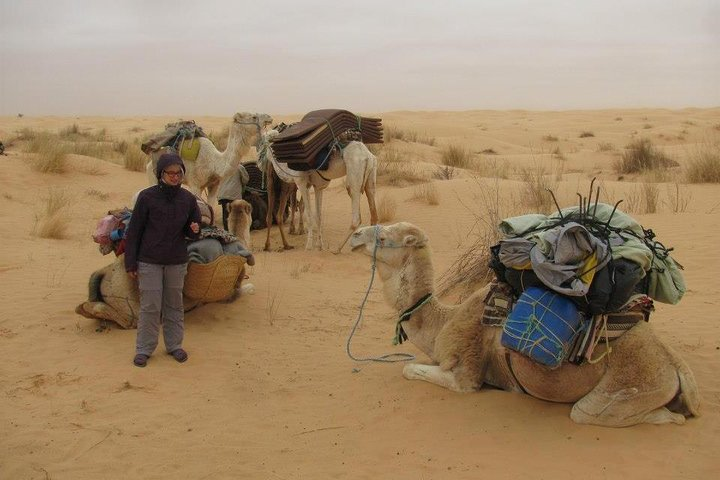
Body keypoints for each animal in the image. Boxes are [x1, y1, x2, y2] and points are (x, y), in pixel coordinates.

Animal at [352, 222, 700, 428]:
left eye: (383, 237)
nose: (355, 234)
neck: (443, 320)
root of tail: (676, 366)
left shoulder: (467, 371)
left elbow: (409, 369)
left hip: (629, 388)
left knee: (599, 412)